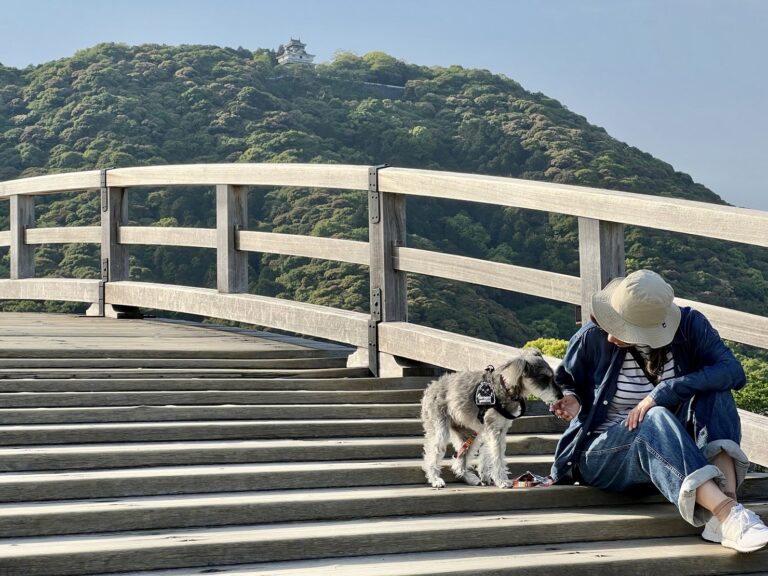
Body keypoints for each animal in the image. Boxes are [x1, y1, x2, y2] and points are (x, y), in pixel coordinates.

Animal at [420, 348, 564, 488]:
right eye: (543, 378)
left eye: (553, 377)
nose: (561, 396)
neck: (506, 389)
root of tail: (431, 387)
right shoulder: (493, 429)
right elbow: (497, 455)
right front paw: (502, 480)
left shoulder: (497, 429)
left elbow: (488, 454)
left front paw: (486, 476)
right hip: (440, 429)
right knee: (433, 452)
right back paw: (435, 479)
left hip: (468, 435)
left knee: (460, 459)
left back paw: (470, 478)